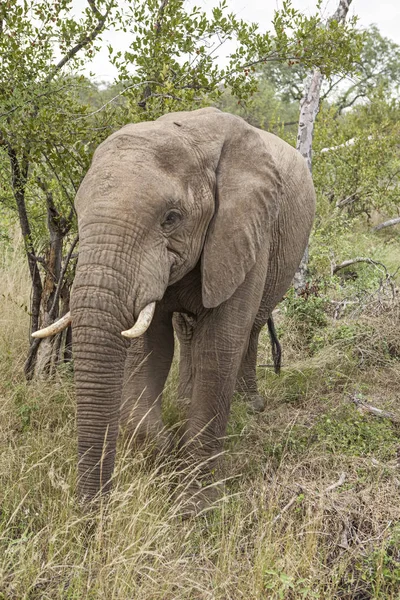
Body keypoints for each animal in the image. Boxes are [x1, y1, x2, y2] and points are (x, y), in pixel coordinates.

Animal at [33, 106, 316, 510]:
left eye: (171, 217)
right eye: (78, 213)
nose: (91, 514)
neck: (189, 135)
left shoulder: (245, 231)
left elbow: (220, 345)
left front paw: (196, 502)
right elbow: (150, 347)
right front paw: (165, 451)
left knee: (251, 328)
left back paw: (250, 406)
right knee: (187, 331)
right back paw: (183, 405)